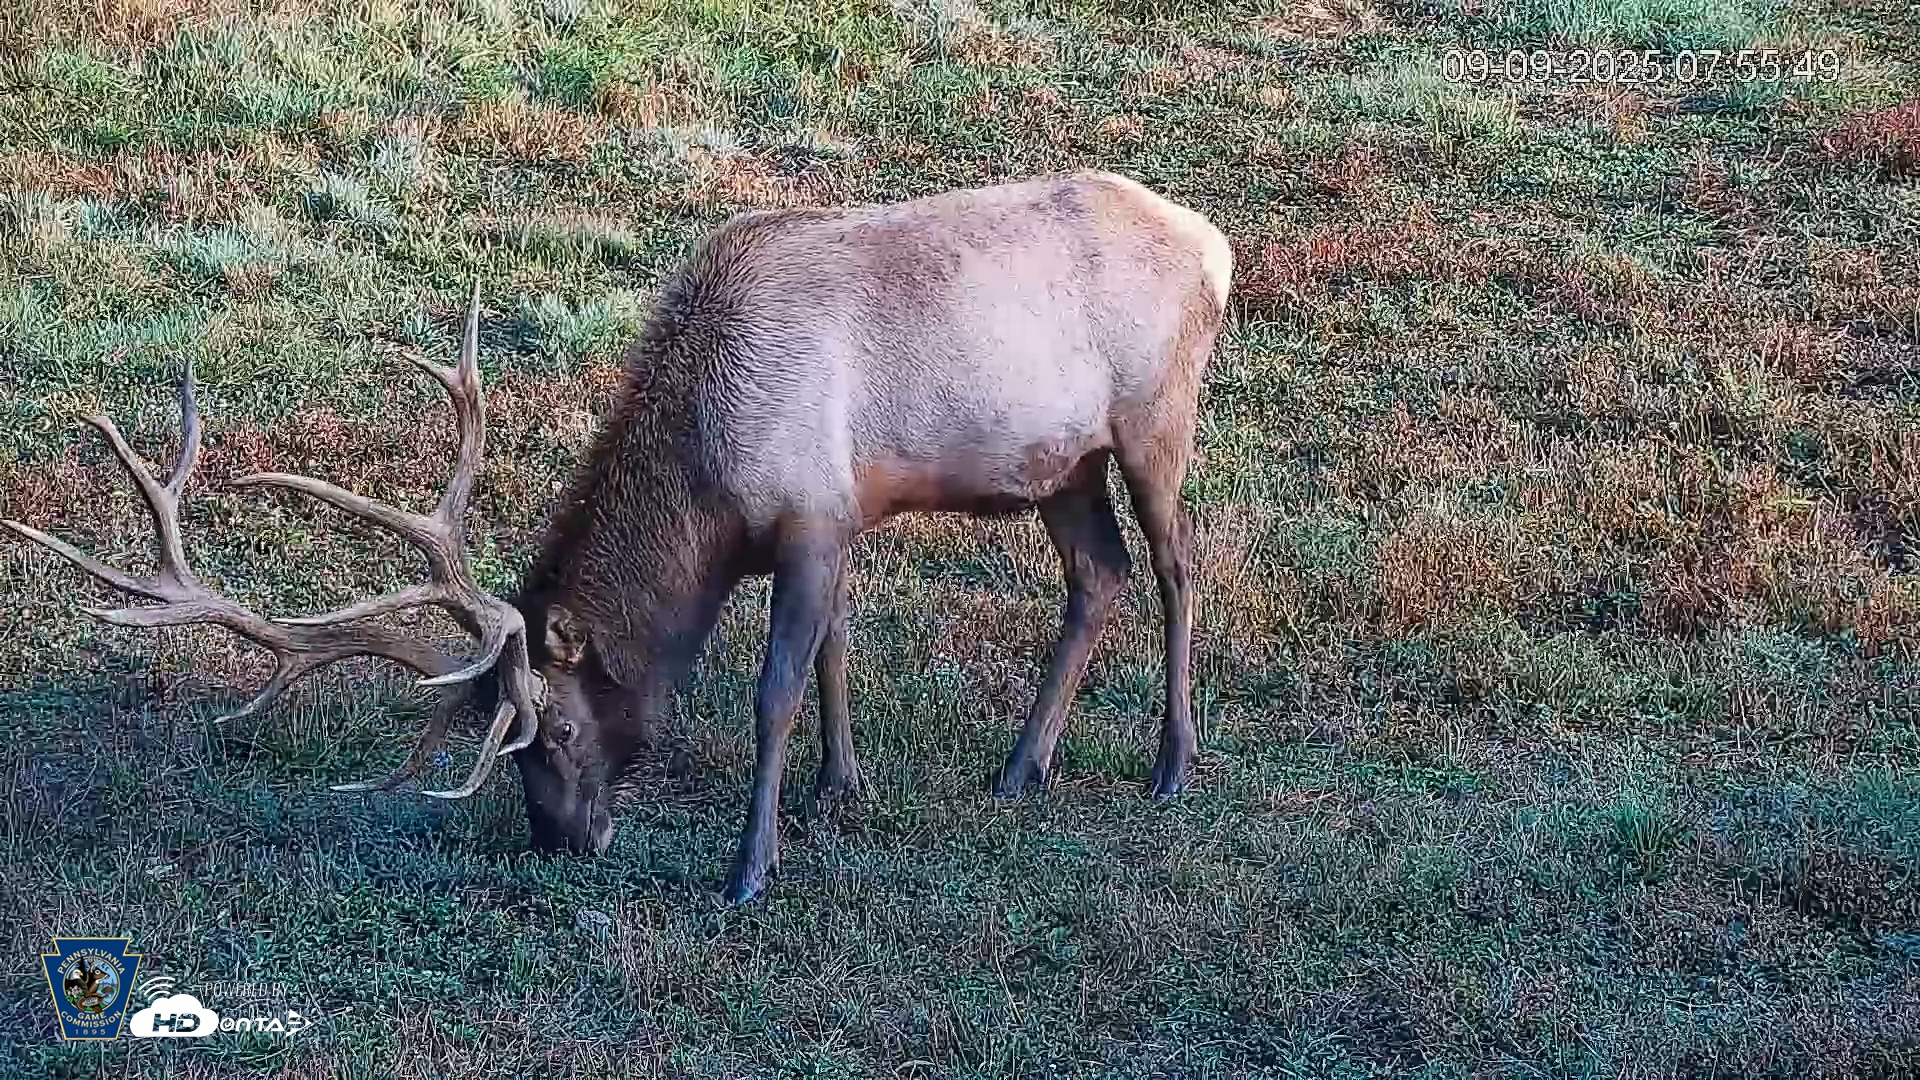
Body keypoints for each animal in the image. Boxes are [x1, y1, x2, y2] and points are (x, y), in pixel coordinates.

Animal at [6, 170, 1232, 903]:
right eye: (501, 743)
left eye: (545, 733)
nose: (562, 842)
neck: (711, 485)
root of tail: (1214, 242)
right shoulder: (839, 515)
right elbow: (836, 650)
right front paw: (839, 790)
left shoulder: (809, 515)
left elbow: (775, 688)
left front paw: (751, 866)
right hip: (1063, 462)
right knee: (1100, 575)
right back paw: (1021, 768)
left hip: (1153, 418)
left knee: (1177, 565)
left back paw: (1173, 764)